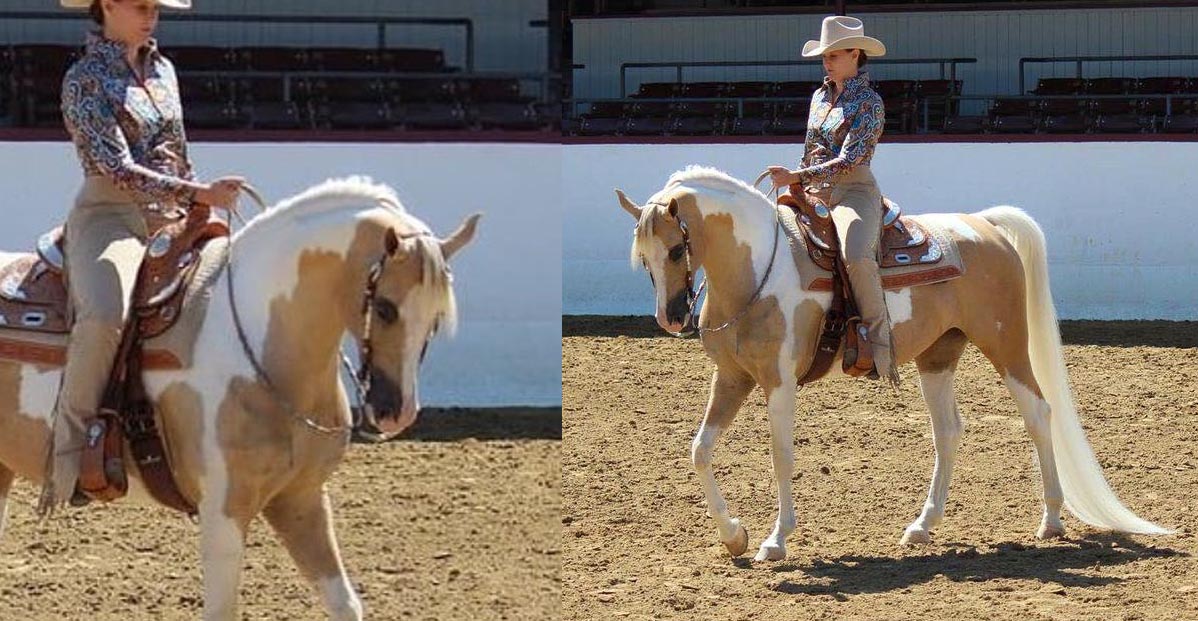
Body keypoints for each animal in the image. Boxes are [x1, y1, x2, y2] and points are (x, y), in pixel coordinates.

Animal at [0, 176, 480, 620]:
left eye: (436, 318)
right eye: (384, 308)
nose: (397, 412)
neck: (257, 347)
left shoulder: (301, 500)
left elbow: (345, 604)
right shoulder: (224, 512)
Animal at [616, 165, 1169, 562]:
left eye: (675, 249)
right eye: (643, 259)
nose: (671, 317)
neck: (758, 271)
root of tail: (984, 224)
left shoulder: (779, 383)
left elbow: (781, 458)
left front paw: (776, 541)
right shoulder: (732, 379)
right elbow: (699, 451)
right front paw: (734, 536)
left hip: (1007, 345)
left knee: (1037, 413)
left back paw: (1051, 520)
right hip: (938, 357)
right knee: (948, 431)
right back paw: (923, 526)